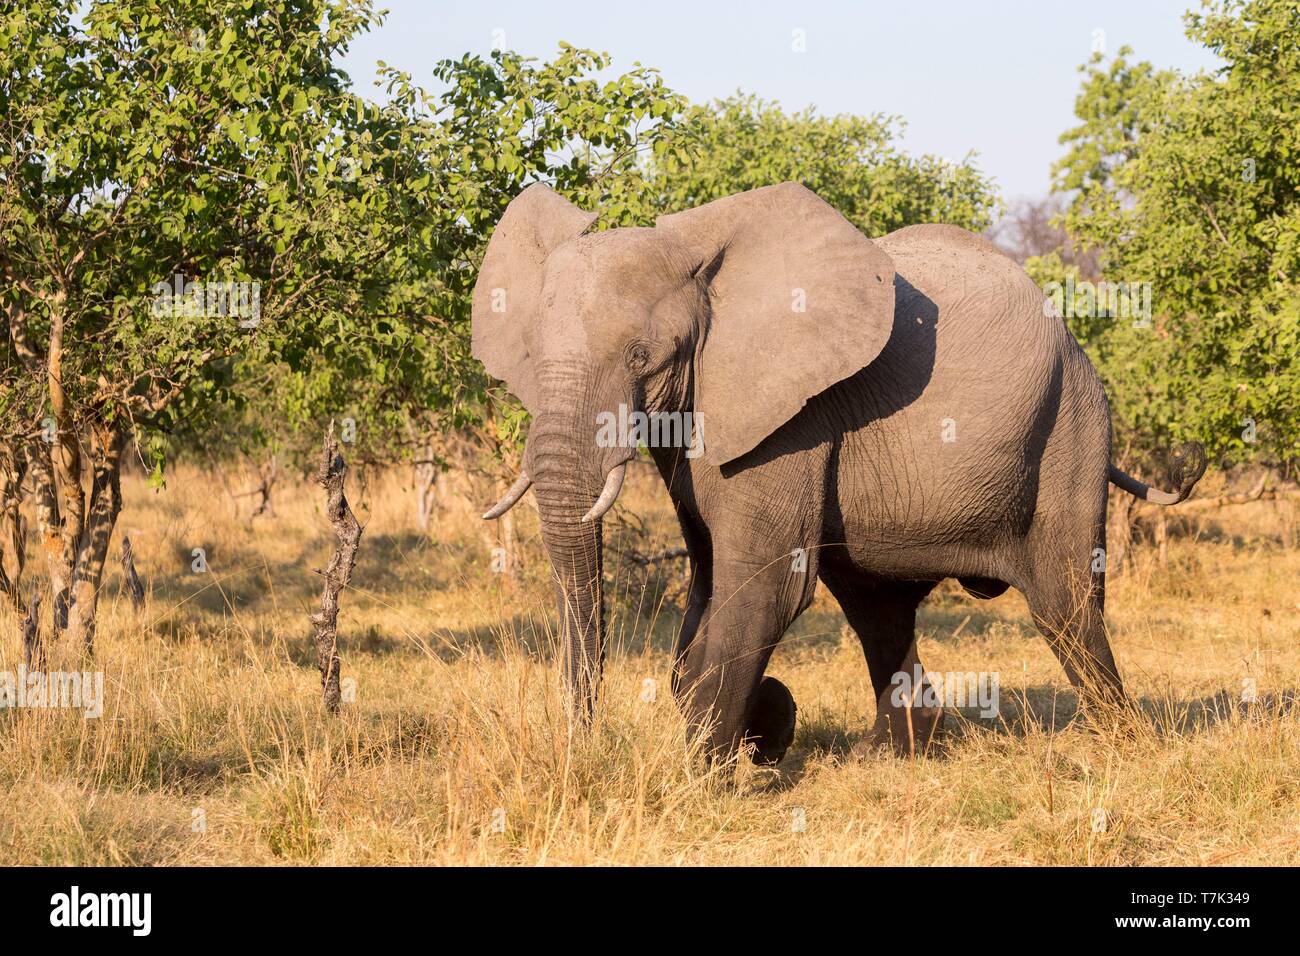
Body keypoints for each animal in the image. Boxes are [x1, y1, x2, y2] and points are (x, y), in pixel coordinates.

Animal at [471, 181, 1206, 765]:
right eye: (530, 353)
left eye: (643, 356)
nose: (582, 745)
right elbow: (708, 577)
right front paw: (756, 729)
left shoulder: (793, 418)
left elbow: (765, 583)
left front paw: (711, 771)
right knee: (876, 605)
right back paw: (893, 751)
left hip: (1072, 420)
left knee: (1064, 601)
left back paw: (1125, 745)